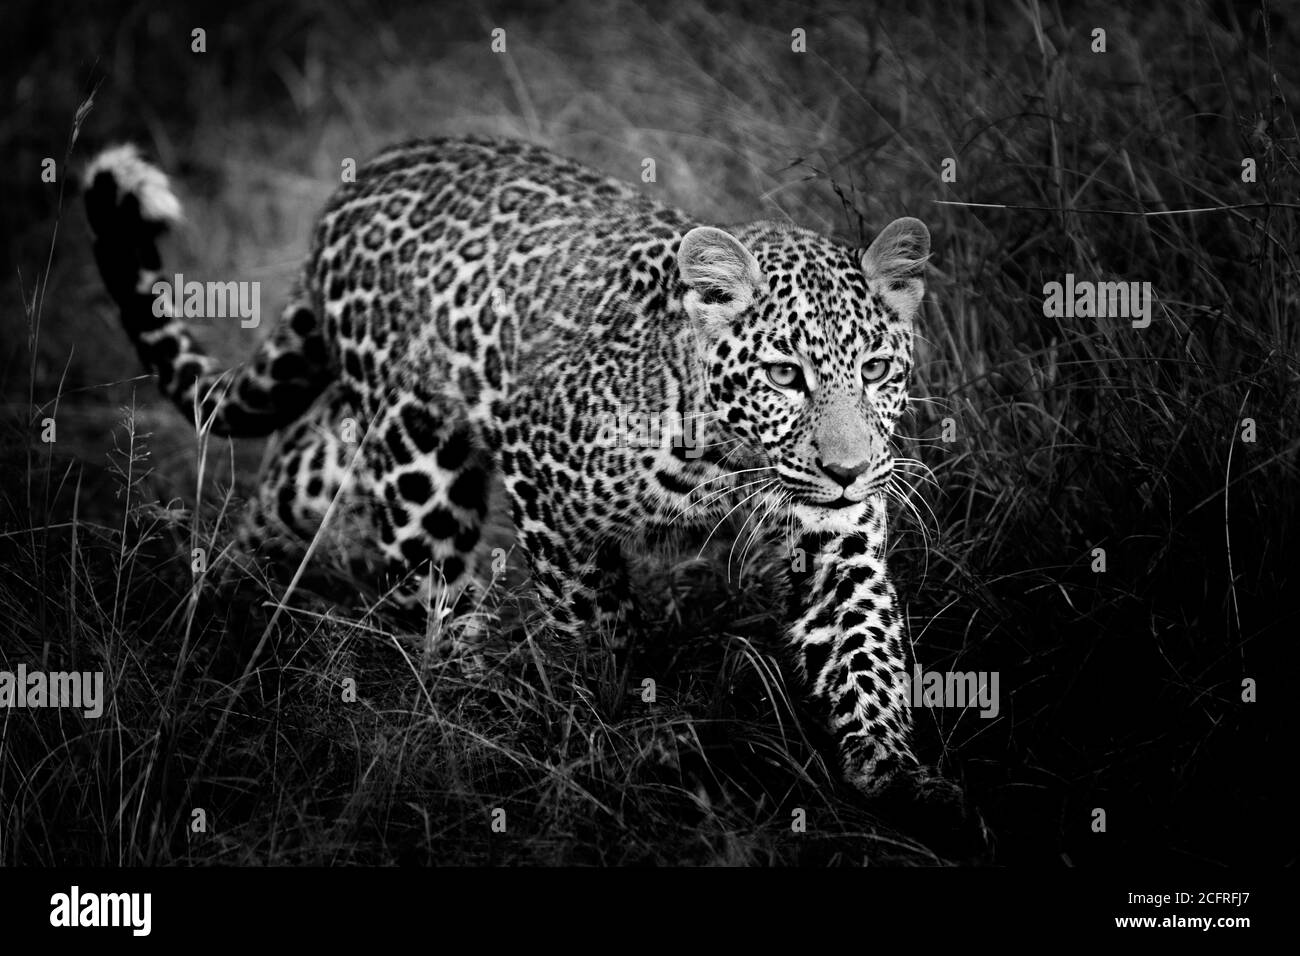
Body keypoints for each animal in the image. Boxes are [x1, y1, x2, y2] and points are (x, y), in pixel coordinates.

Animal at [86, 134, 951, 801]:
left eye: (875, 369)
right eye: (783, 375)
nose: (848, 469)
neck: (732, 454)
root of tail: (362, 180)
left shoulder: (834, 540)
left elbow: (865, 649)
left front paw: (895, 771)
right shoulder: (546, 485)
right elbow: (600, 630)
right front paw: (632, 733)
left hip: (351, 441)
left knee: (292, 474)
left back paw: (229, 596)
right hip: (418, 459)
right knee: (437, 599)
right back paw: (470, 716)